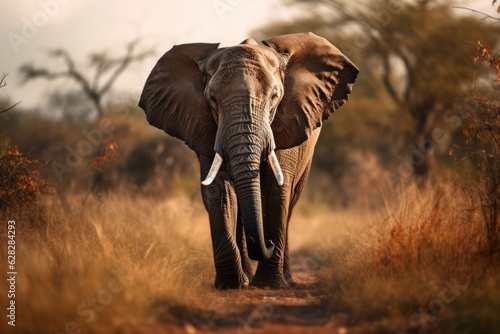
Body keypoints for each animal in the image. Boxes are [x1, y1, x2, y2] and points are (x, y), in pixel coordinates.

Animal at [140, 33, 360, 290]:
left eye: (274, 97)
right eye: (212, 99)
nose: (269, 244)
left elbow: (276, 190)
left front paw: (269, 285)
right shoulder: (205, 126)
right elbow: (221, 191)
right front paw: (230, 284)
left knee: (290, 203)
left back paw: (285, 279)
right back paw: (245, 276)